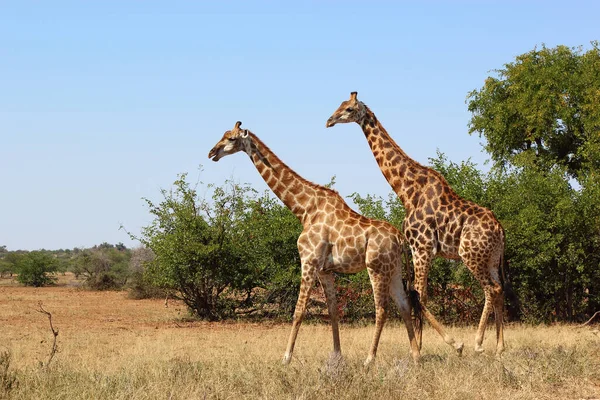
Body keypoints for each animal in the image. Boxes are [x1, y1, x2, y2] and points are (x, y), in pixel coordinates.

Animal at [209, 120, 420, 364]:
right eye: (223, 135)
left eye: (231, 139)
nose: (212, 153)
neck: (304, 209)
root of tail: (400, 238)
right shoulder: (324, 270)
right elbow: (333, 311)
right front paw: (337, 356)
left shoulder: (308, 261)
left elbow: (299, 310)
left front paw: (286, 357)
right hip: (393, 268)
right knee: (404, 304)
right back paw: (416, 356)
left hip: (376, 267)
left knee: (382, 309)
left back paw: (369, 359)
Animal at [328, 93, 506, 356]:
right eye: (339, 105)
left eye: (349, 109)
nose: (329, 121)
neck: (407, 191)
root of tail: (500, 230)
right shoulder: (418, 250)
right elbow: (419, 295)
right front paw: (420, 345)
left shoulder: (421, 248)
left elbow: (419, 295)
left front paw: (427, 346)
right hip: (491, 258)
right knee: (499, 289)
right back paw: (500, 347)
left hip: (470, 254)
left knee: (490, 289)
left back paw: (478, 343)